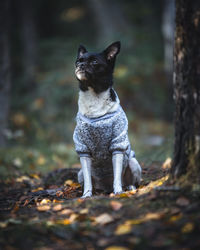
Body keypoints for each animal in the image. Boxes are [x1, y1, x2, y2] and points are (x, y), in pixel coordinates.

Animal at [74, 41, 142, 197]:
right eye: (78, 61)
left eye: (94, 62)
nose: (80, 65)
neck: (94, 97)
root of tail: (105, 188)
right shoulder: (83, 150)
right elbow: (88, 179)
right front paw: (86, 195)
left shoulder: (117, 145)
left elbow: (117, 176)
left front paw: (118, 192)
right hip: (79, 173)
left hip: (133, 163)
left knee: (130, 181)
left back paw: (128, 188)